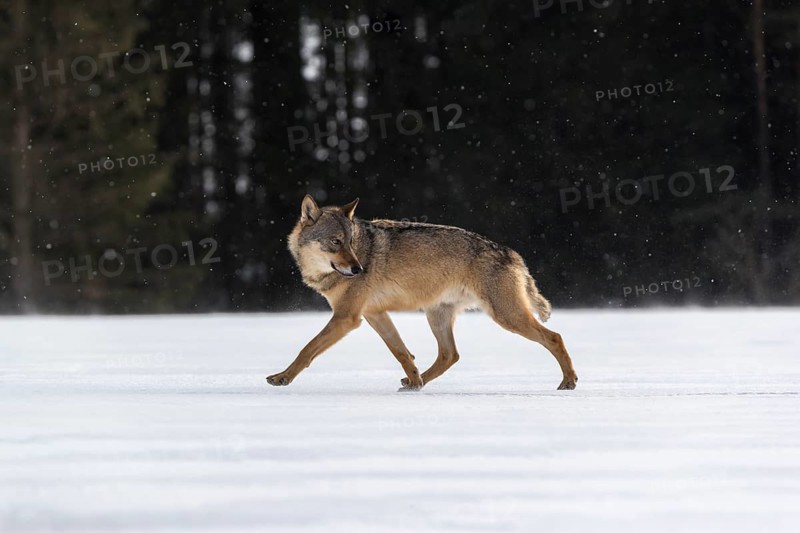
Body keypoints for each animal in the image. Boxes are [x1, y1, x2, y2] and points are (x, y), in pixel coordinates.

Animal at [266, 195, 578, 391]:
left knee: (555, 337)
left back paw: (568, 382)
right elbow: (402, 353)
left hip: (506, 317)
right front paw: (415, 382)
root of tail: (514, 255)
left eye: (351, 243)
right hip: (437, 316)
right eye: (335, 242)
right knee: (450, 355)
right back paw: (417, 382)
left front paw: (283, 378)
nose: (358, 269)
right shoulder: (374, 314)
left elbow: (307, 350)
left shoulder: (347, 318)